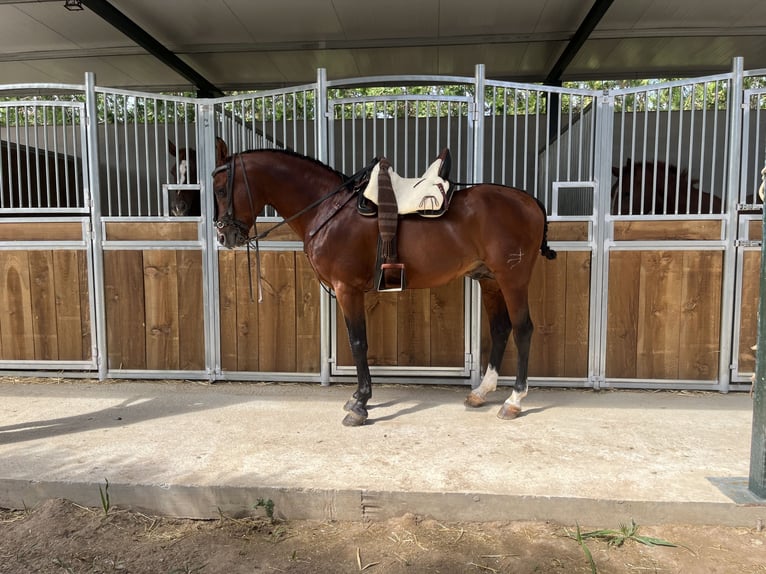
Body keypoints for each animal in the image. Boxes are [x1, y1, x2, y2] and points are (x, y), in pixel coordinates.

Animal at [212, 148, 560, 428]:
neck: (330, 210)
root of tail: (530, 201)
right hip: (489, 280)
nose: (224, 236)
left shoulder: (347, 289)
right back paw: (481, 393)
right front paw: (357, 399)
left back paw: (513, 401)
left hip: (512, 279)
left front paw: (360, 405)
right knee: (501, 328)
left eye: (220, 188)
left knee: (523, 329)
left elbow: (358, 343)